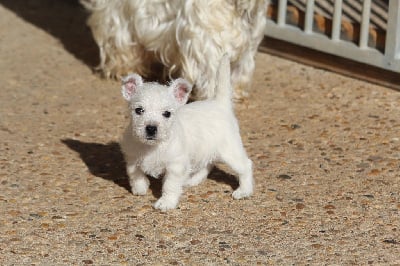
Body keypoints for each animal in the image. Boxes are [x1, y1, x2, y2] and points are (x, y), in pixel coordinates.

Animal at [120, 55, 255, 210]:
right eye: (139, 110)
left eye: (167, 113)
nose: (151, 128)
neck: (152, 147)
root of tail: (220, 104)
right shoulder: (132, 159)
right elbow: (136, 175)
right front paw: (140, 189)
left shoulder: (175, 166)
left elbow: (170, 186)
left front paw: (166, 202)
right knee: (207, 165)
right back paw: (192, 179)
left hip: (230, 151)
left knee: (245, 166)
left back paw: (244, 190)